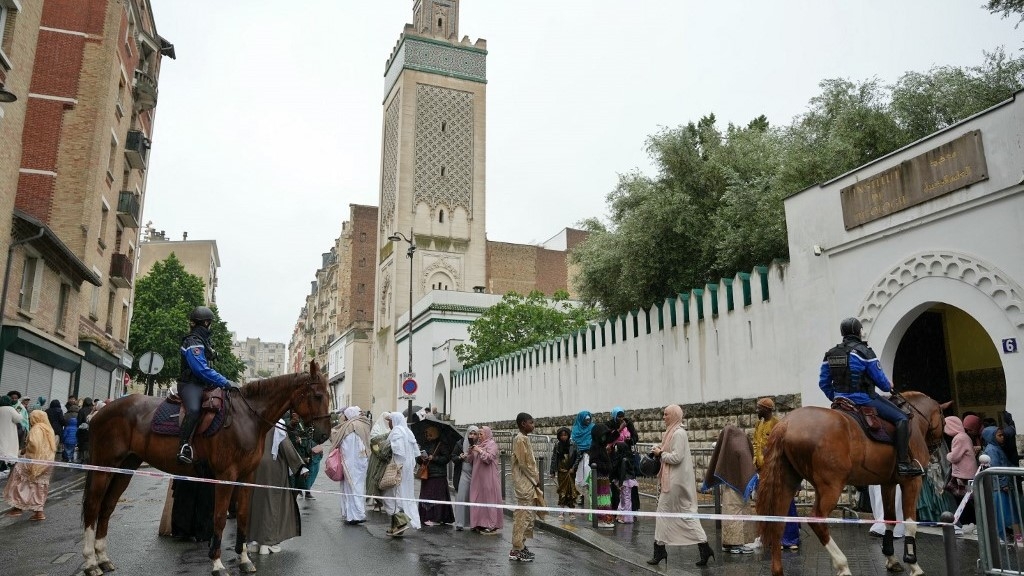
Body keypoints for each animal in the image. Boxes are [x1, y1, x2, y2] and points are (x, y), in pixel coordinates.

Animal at [80, 358, 327, 573]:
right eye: (317, 395)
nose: (324, 434)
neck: (246, 418)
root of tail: (101, 412)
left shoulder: (247, 476)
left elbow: (244, 516)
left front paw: (245, 559)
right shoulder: (226, 476)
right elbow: (219, 518)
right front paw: (217, 563)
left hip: (125, 467)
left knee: (107, 507)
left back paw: (103, 558)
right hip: (103, 467)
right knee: (93, 507)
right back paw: (91, 562)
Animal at [757, 389, 946, 573]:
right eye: (944, 419)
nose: (936, 448)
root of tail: (786, 424)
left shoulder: (888, 483)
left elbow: (890, 518)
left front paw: (892, 559)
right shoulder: (912, 482)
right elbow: (910, 523)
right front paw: (913, 564)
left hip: (787, 482)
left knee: (777, 522)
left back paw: (778, 569)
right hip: (831, 486)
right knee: (816, 519)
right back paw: (842, 565)